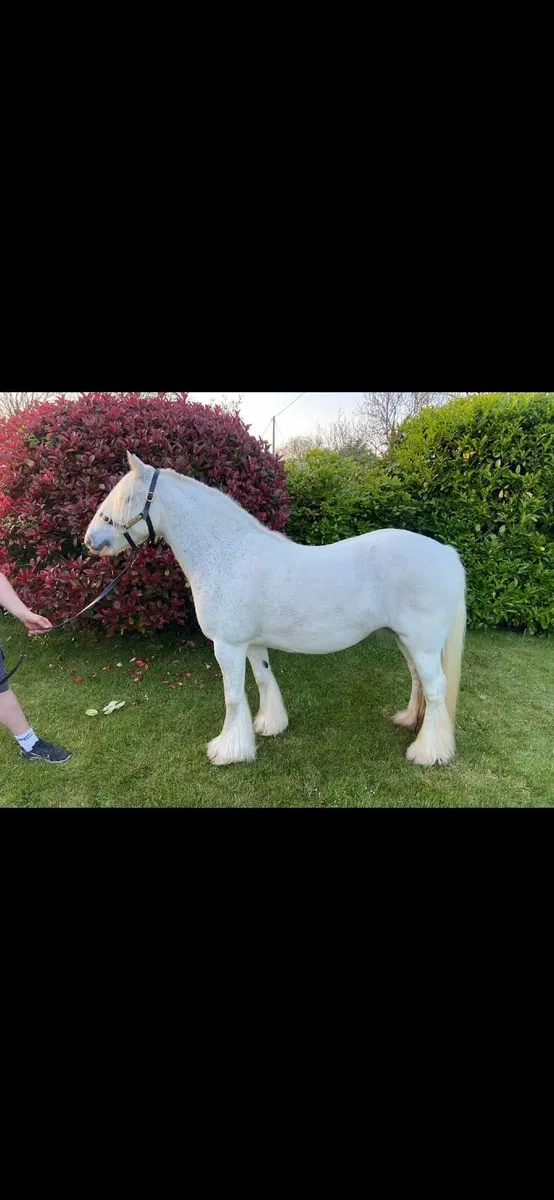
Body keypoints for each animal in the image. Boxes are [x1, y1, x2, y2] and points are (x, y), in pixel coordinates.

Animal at [85, 453, 466, 768]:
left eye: (126, 498)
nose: (91, 541)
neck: (227, 555)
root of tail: (447, 553)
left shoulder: (227, 646)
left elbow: (233, 697)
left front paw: (227, 751)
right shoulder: (252, 644)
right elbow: (264, 680)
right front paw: (269, 726)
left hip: (423, 643)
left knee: (435, 688)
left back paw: (427, 753)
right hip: (407, 640)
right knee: (418, 680)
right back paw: (410, 721)